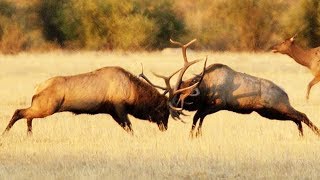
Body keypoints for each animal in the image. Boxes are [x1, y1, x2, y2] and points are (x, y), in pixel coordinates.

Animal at [1, 66, 190, 135]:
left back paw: (28, 134)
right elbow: (130, 127)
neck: (134, 94)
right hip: (47, 107)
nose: (164, 127)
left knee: (27, 116)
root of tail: (37, 88)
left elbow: (126, 128)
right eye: (164, 111)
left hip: (41, 106)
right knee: (19, 112)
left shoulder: (112, 111)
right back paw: (5, 133)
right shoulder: (120, 107)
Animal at [142, 38, 320, 138]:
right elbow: (197, 119)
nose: (173, 113)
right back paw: (301, 135)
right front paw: (195, 135)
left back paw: (315, 133)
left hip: (278, 106)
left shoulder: (219, 104)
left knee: (302, 115)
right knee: (296, 119)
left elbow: (197, 117)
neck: (205, 87)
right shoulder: (206, 106)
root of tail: (285, 93)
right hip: (268, 112)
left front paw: (194, 135)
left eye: (179, 97)